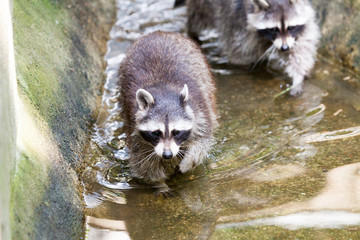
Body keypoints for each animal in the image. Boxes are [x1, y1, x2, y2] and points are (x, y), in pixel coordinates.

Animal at [119, 31, 218, 194]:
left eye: (176, 132)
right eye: (156, 133)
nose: (167, 155)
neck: (164, 92)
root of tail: (158, 32)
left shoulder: (200, 111)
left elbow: (202, 141)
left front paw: (188, 162)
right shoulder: (134, 126)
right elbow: (143, 163)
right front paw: (159, 184)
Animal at [186, 0, 320, 95]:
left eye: (291, 27)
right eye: (274, 29)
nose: (284, 48)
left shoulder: (301, 31)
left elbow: (300, 53)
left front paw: (298, 78)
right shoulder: (239, 25)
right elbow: (240, 55)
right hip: (202, 6)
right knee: (197, 19)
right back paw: (193, 34)